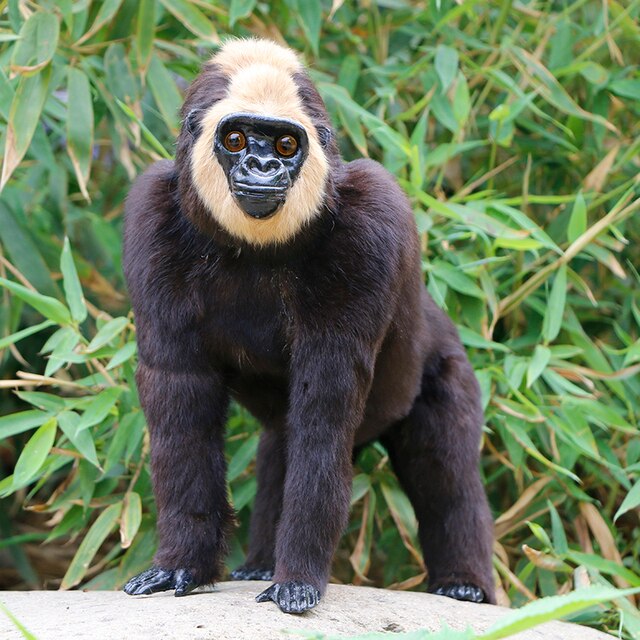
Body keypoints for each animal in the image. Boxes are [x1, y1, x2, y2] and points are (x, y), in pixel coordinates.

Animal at [122, 38, 495, 614]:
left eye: (284, 143)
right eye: (235, 138)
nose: (260, 165)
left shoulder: (372, 223)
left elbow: (325, 412)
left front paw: (297, 578)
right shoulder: (151, 215)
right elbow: (181, 408)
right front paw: (182, 562)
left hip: (447, 365)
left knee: (444, 473)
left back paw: (465, 582)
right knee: (280, 448)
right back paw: (258, 563)